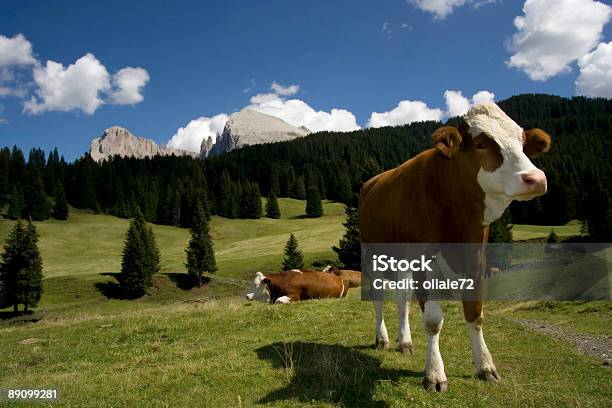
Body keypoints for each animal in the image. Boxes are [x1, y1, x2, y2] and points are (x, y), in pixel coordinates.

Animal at [360, 103, 552, 392]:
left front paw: (485, 366)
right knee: (379, 296)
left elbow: (475, 313)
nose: (536, 178)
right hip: (372, 255)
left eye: (521, 142)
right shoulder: (423, 262)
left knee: (403, 298)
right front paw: (435, 374)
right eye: (482, 144)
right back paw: (382, 338)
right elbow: (432, 321)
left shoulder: (477, 259)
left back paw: (405, 341)